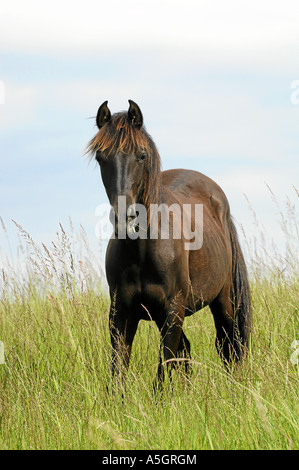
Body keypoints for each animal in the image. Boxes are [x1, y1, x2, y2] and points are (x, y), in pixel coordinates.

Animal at [86, 100, 251, 390]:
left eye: (141, 156)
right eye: (101, 158)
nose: (125, 218)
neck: (142, 251)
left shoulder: (172, 310)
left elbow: (163, 373)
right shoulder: (121, 314)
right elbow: (119, 372)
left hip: (223, 300)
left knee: (229, 344)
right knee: (188, 351)